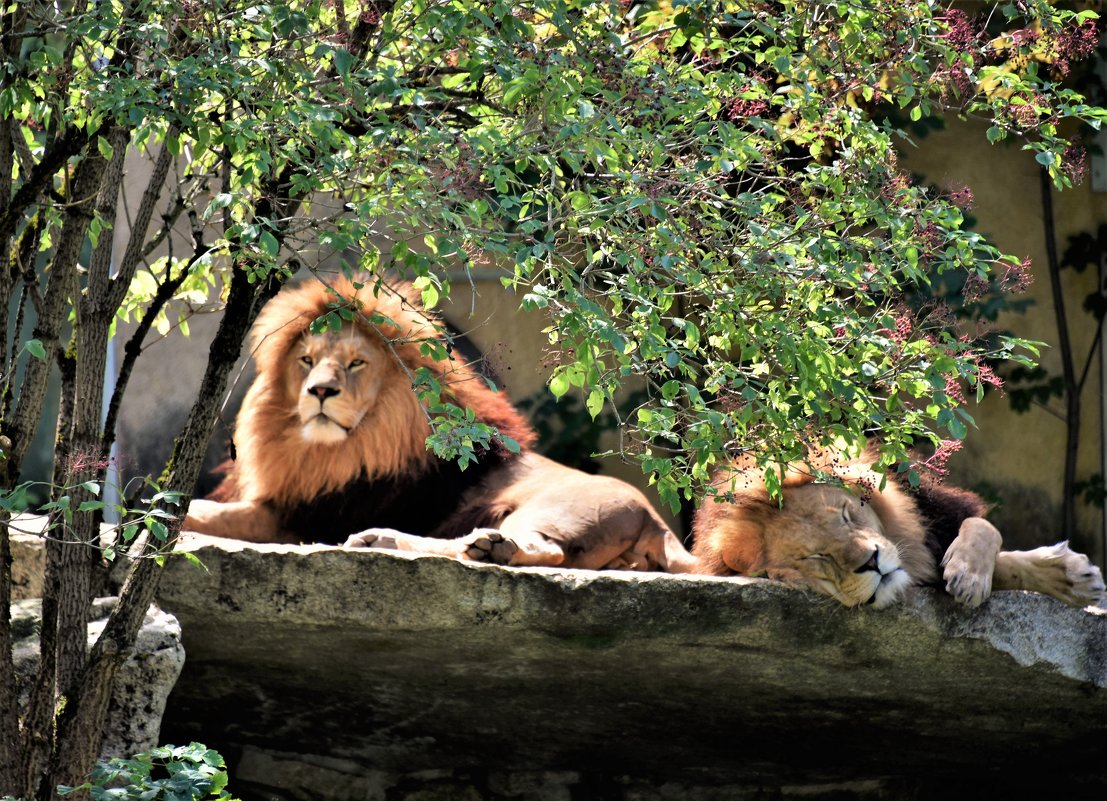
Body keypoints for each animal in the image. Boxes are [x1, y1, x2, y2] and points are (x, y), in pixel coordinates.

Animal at [184, 272, 695, 570]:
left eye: (355, 363)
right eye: (306, 360)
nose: (320, 392)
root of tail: (657, 522)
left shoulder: (305, 518)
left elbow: (208, 511)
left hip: (555, 509)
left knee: (542, 550)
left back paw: (391, 540)